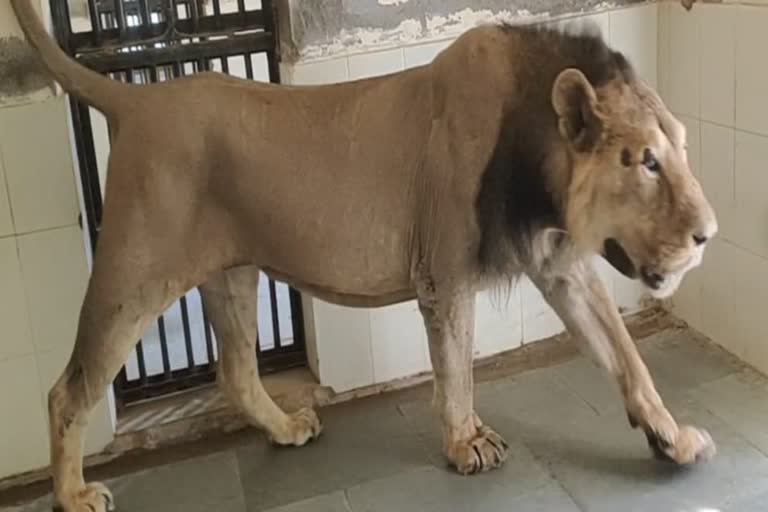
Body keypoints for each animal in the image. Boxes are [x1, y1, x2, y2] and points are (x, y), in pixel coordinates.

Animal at [12, 2, 716, 510]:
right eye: (646, 161)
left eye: (682, 148)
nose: (708, 234)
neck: (539, 161)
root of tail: (137, 98)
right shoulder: (443, 272)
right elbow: (456, 367)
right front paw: (466, 444)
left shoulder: (561, 265)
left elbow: (626, 358)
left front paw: (672, 439)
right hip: (135, 273)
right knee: (67, 390)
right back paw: (73, 495)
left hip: (231, 273)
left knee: (235, 373)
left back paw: (287, 429)